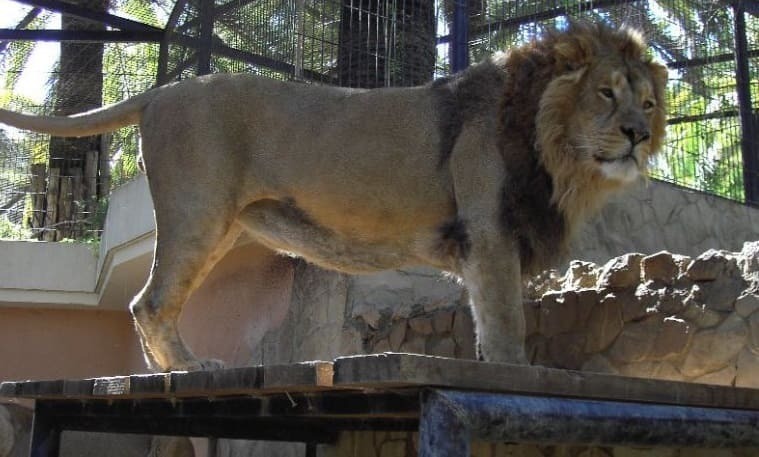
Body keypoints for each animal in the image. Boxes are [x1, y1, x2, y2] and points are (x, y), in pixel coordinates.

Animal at [0, 21, 667, 371]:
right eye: (606, 93)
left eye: (648, 101)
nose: (638, 134)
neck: (559, 156)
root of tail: (162, 92)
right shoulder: (489, 232)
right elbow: (506, 325)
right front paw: (512, 375)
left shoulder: (485, 244)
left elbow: (486, 322)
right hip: (197, 215)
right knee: (150, 301)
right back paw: (190, 369)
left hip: (222, 227)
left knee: (152, 301)